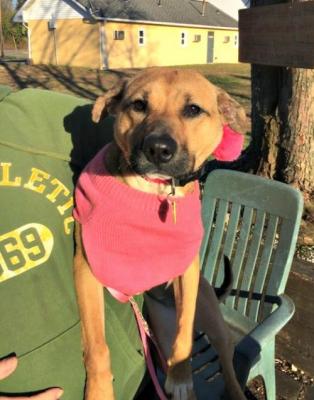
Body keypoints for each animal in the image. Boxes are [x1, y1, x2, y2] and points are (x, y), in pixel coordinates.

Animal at [73, 67, 248, 398]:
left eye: (193, 109)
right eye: (138, 105)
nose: (158, 148)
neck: (153, 191)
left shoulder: (187, 273)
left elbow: (185, 336)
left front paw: (180, 376)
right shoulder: (87, 270)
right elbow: (97, 346)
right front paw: (99, 390)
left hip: (211, 317)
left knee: (226, 357)